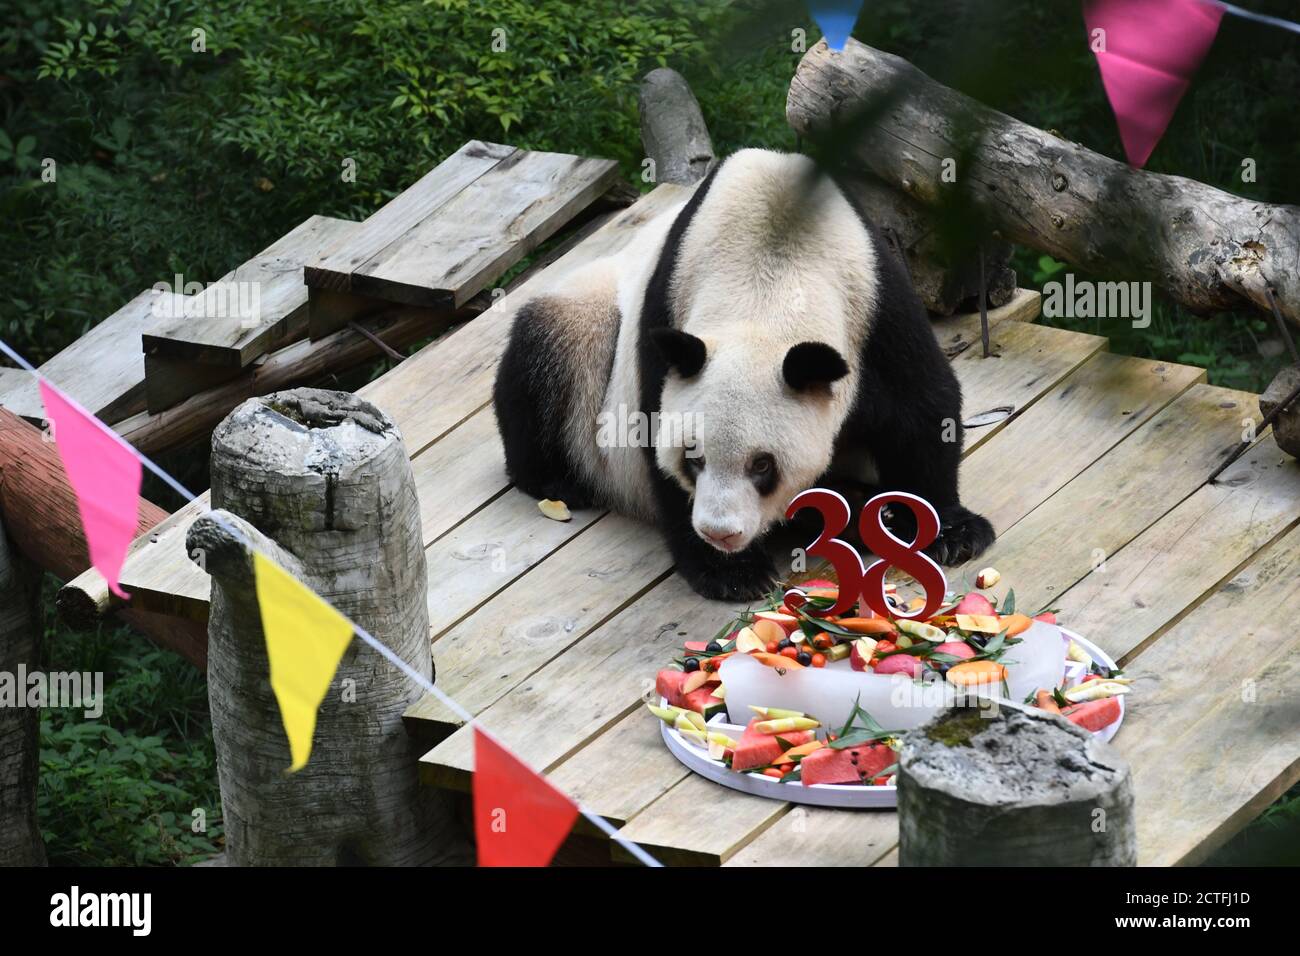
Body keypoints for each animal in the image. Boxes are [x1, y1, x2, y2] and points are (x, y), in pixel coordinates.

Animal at [491, 148, 987, 598]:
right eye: (693, 458)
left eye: (762, 465)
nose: (720, 533)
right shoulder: (665, 314)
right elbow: (651, 437)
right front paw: (731, 573)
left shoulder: (876, 301)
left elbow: (921, 409)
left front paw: (949, 531)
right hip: (590, 326)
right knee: (544, 356)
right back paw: (556, 482)